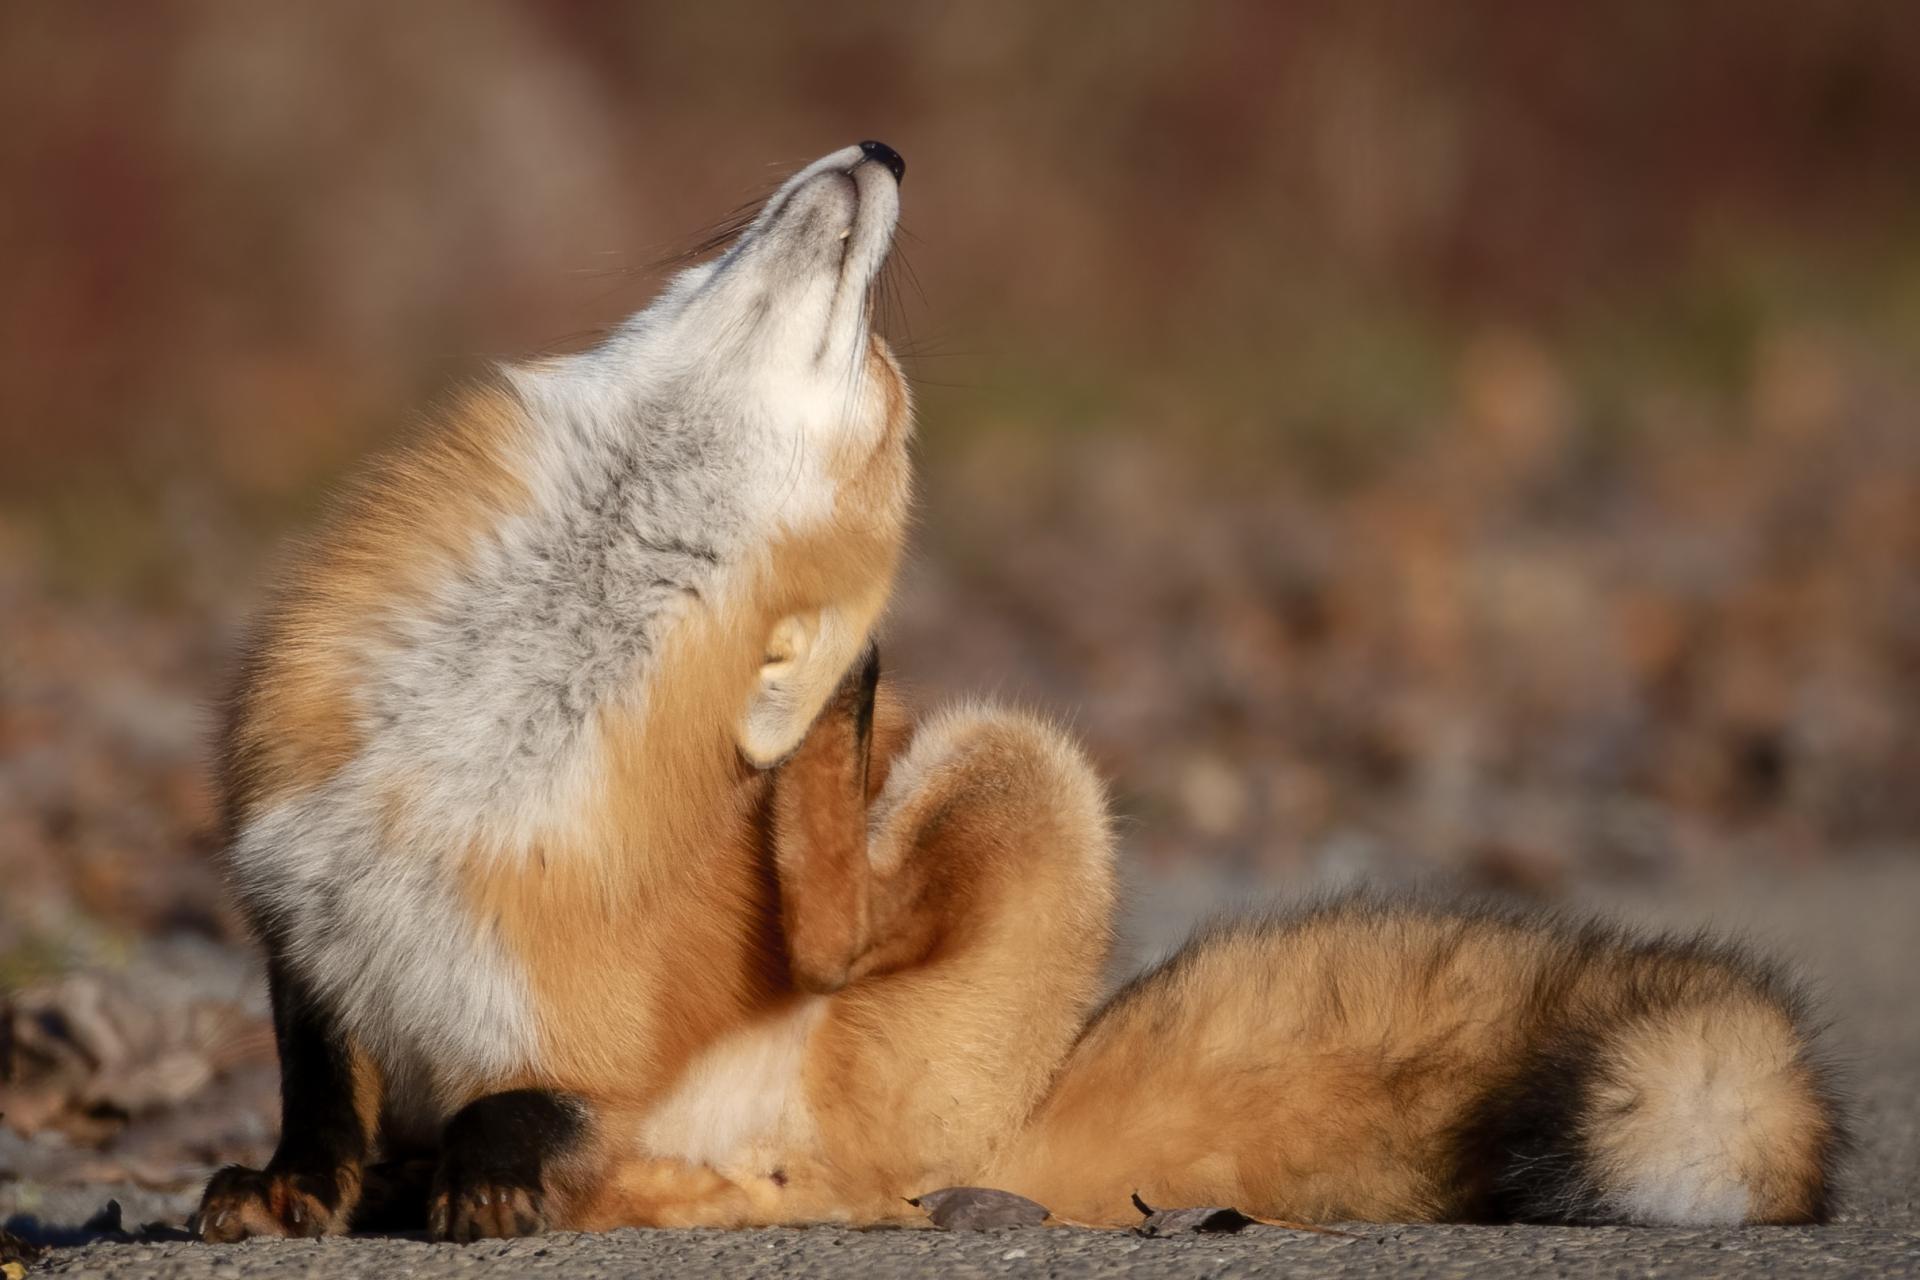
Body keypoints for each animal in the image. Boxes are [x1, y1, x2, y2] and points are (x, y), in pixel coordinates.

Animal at [196, 141, 1842, 1243]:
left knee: (832, 1084)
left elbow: (541, 1102)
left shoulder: (587, 1029)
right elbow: (319, 1092)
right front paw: (293, 1189)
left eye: (875, 383)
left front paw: (487, 1176)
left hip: (1020, 772)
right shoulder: (311, 918)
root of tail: (1014, 1111)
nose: (883, 150)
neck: (495, 707)